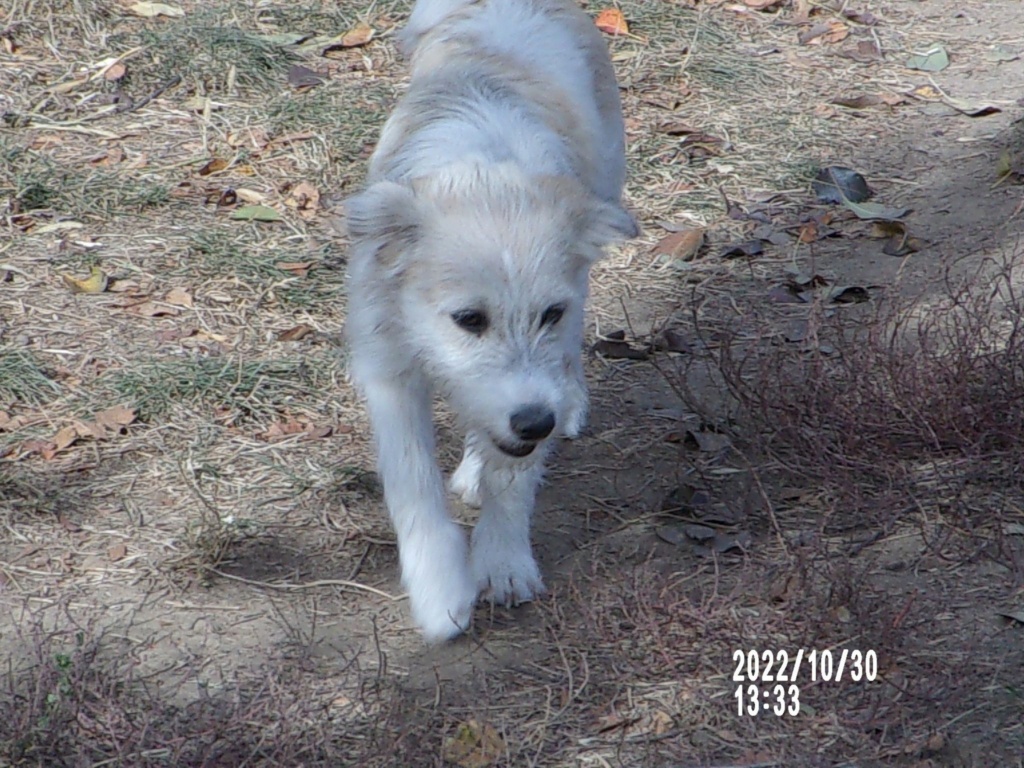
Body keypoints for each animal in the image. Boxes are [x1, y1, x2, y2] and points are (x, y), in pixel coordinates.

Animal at [348, 0, 634, 643]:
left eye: (548, 313)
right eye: (467, 319)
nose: (537, 424)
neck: (482, 177)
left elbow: (513, 476)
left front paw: (503, 563)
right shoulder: (388, 366)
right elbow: (412, 480)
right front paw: (440, 590)